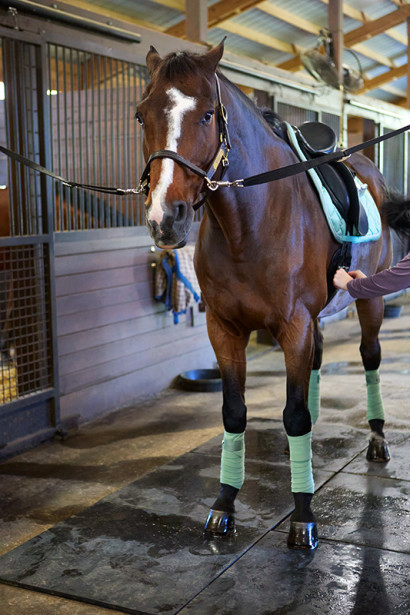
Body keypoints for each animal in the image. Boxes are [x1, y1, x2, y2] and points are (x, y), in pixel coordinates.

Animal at [137, 44, 406, 552]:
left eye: (208, 114)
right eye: (142, 115)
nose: (166, 218)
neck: (249, 225)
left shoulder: (293, 326)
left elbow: (295, 414)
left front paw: (303, 520)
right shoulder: (224, 330)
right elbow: (234, 413)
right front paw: (224, 506)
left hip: (371, 300)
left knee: (370, 357)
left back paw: (378, 439)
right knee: (318, 360)